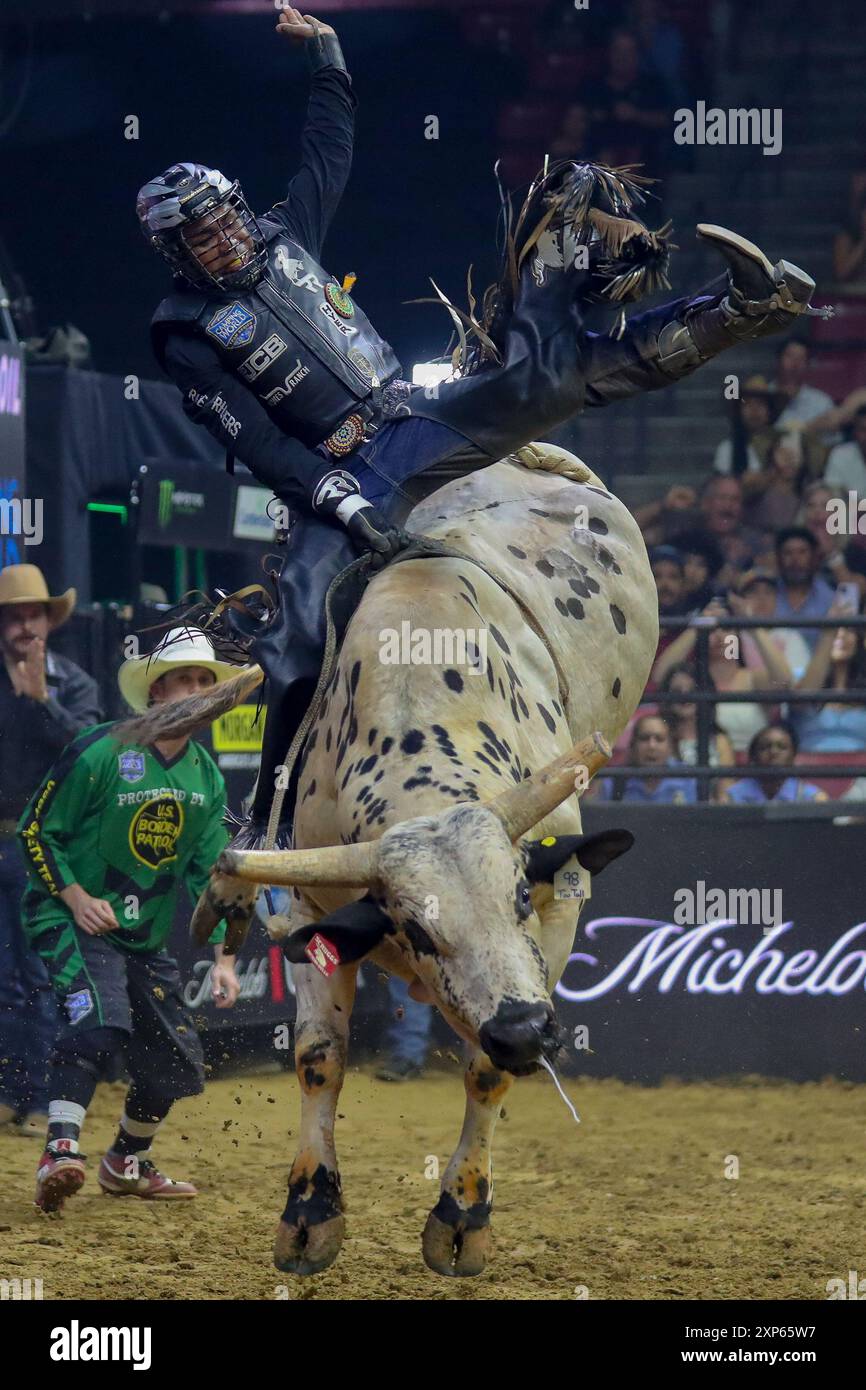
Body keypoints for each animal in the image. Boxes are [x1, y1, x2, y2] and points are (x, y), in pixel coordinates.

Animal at [127, 442, 656, 1273]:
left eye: (517, 897)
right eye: (416, 927)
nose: (525, 1032)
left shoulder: (557, 906)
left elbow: (483, 1068)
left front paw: (462, 1216)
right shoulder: (309, 910)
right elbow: (319, 1056)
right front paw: (309, 1210)